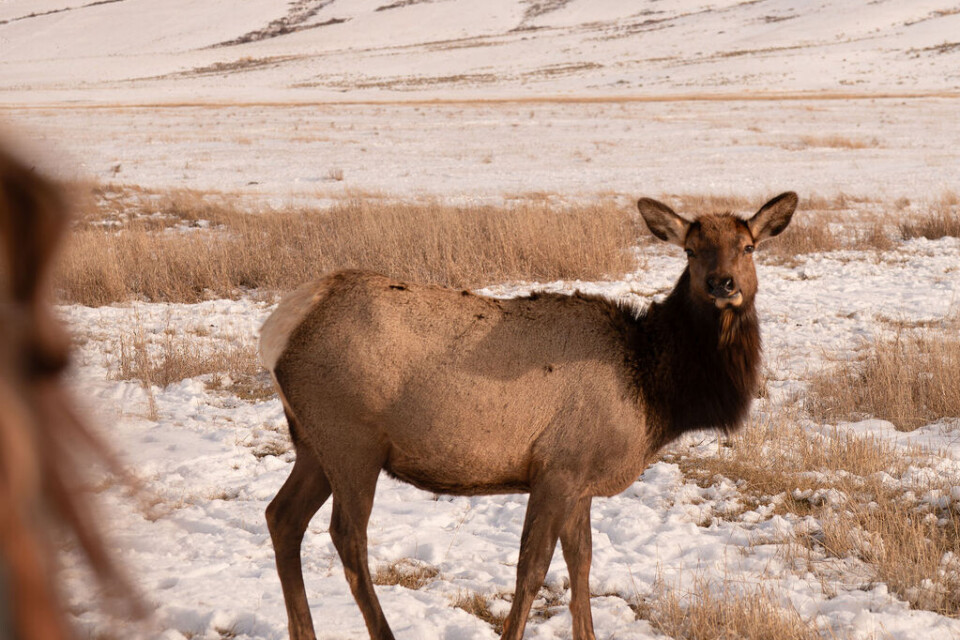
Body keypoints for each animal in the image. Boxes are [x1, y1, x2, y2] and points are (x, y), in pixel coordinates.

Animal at [259, 192, 798, 640]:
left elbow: (582, 565)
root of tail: (278, 328)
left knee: (281, 516)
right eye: (690, 249)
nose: (722, 284)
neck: (654, 390)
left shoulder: (581, 478)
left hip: (312, 444)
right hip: (351, 440)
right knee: (347, 536)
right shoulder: (557, 468)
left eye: (748, 247)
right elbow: (532, 569)